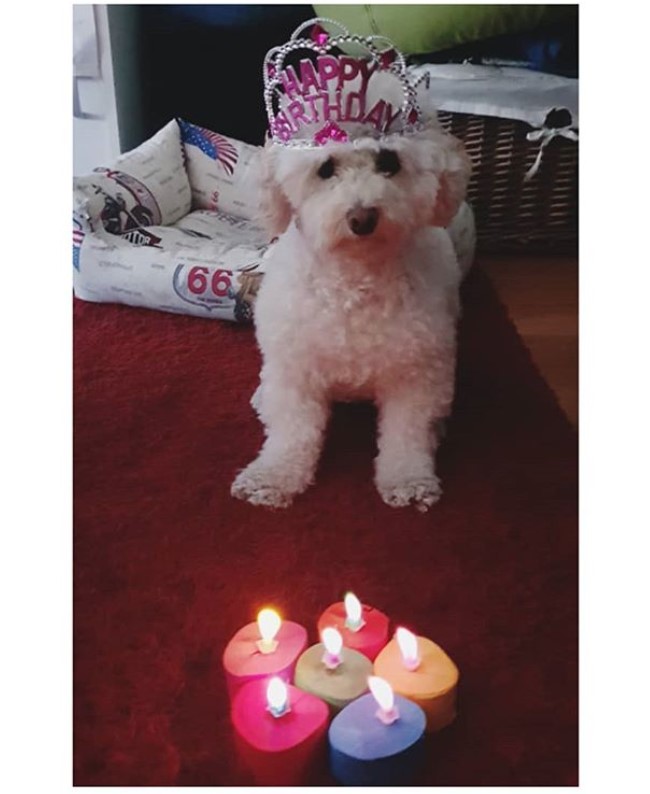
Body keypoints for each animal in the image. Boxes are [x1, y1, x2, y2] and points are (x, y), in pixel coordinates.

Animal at [230, 120, 474, 510]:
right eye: (325, 169)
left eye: (389, 162)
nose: (362, 217)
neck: (354, 280)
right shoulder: (296, 371)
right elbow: (292, 432)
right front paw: (272, 476)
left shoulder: (416, 374)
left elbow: (406, 433)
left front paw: (408, 479)